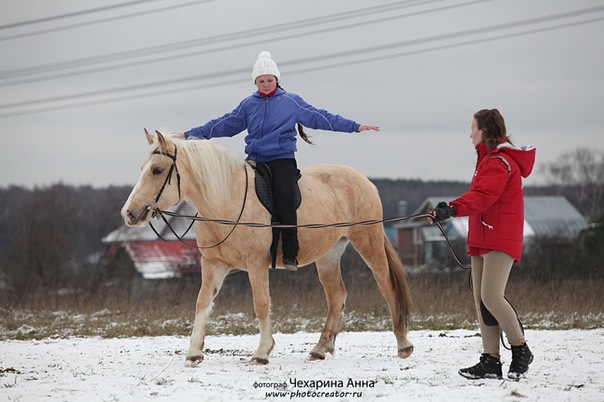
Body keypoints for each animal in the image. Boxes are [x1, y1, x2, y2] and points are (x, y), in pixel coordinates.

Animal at [122, 131, 416, 364]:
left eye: (157, 170)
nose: (129, 213)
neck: (226, 202)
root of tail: (364, 180)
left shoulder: (256, 265)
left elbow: (261, 304)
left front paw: (262, 352)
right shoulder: (213, 265)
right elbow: (202, 302)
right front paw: (194, 352)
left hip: (368, 241)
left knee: (387, 286)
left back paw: (403, 345)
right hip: (329, 255)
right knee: (336, 297)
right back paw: (319, 349)